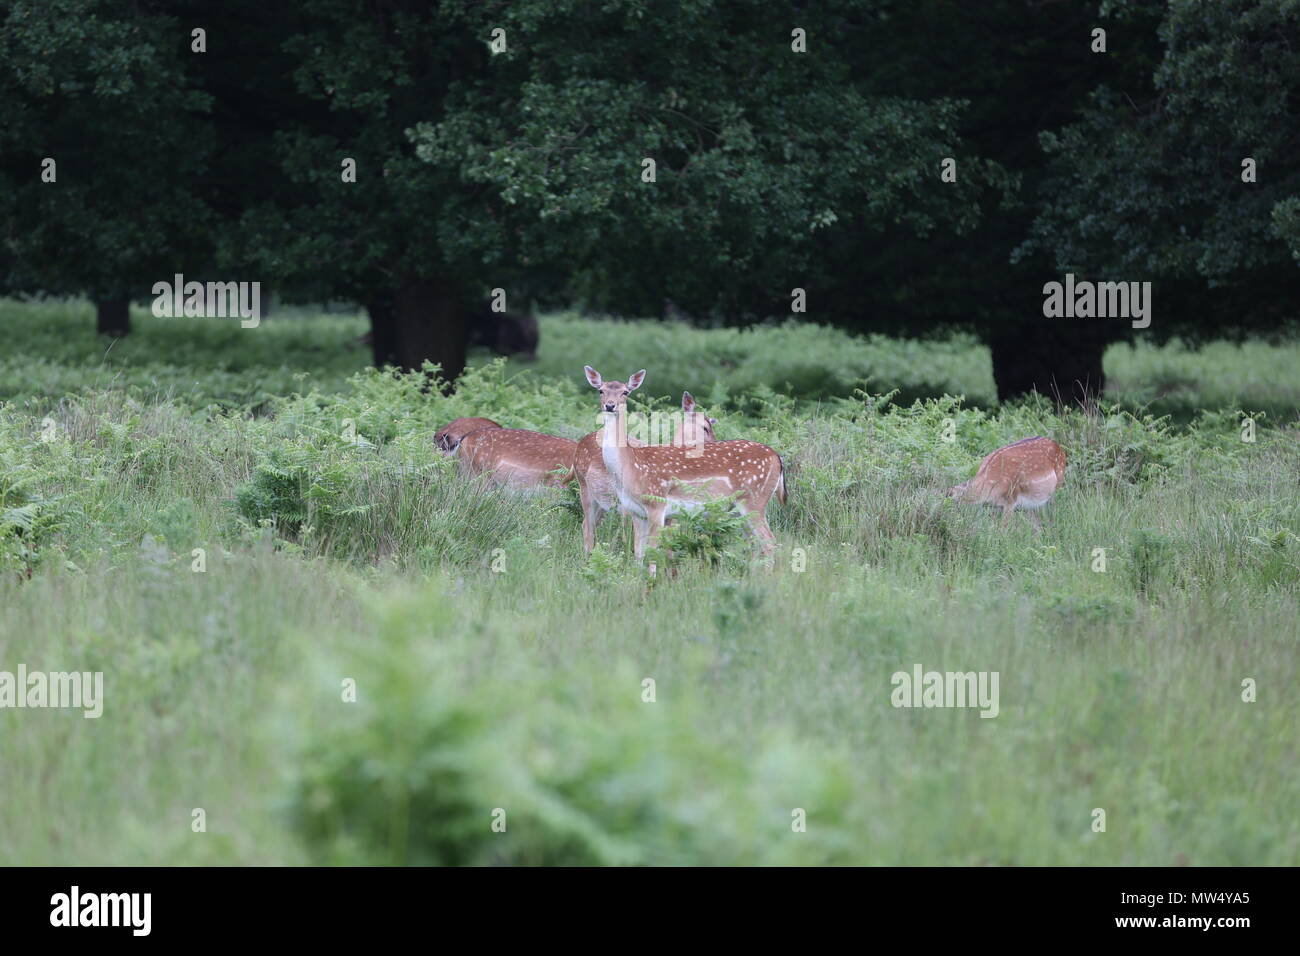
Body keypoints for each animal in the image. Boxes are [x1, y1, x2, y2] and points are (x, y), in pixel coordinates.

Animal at [587, 369, 785, 574]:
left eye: (625, 392)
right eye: (601, 390)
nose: (610, 405)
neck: (629, 468)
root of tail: (777, 458)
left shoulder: (657, 504)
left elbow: (652, 552)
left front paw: (651, 580)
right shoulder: (635, 511)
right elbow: (638, 553)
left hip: (755, 499)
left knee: (769, 541)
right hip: (741, 508)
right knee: (754, 543)